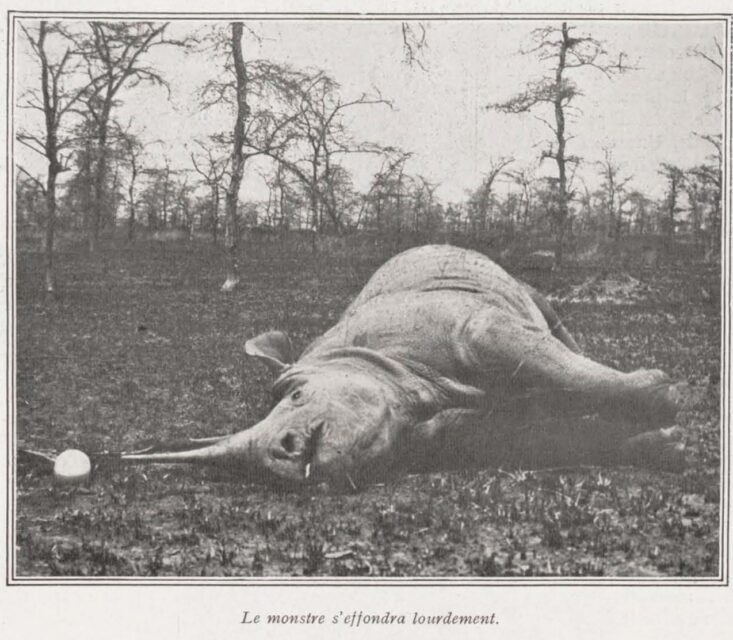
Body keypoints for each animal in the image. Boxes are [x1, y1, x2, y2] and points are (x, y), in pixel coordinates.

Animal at [121, 245, 686, 489]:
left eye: (297, 398)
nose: (283, 451)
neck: (409, 389)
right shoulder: (445, 432)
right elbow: (534, 436)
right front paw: (659, 444)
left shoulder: (469, 327)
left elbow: (542, 363)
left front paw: (663, 396)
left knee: (551, 327)